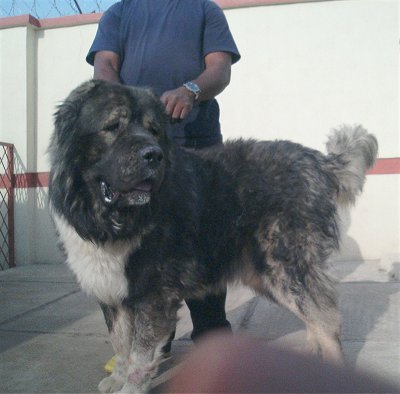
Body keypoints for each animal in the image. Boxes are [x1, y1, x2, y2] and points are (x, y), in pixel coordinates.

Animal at [47, 79, 378, 390]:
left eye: (154, 131)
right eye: (113, 126)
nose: (153, 155)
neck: (106, 217)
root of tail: (318, 161)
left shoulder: (152, 296)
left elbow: (140, 356)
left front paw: (129, 387)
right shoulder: (111, 290)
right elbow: (120, 342)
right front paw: (117, 377)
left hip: (287, 269)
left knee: (327, 320)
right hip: (267, 275)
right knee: (317, 318)